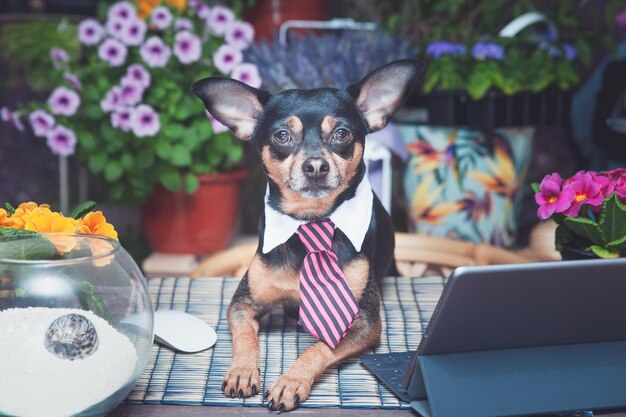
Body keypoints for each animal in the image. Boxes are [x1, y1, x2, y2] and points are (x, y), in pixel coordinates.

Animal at [193, 58, 422, 410]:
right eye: (282, 135)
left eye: (342, 133)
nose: (315, 166)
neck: (311, 221)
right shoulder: (242, 305)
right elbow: (245, 339)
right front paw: (242, 371)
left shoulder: (363, 321)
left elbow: (319, 347)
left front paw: (291, 381)